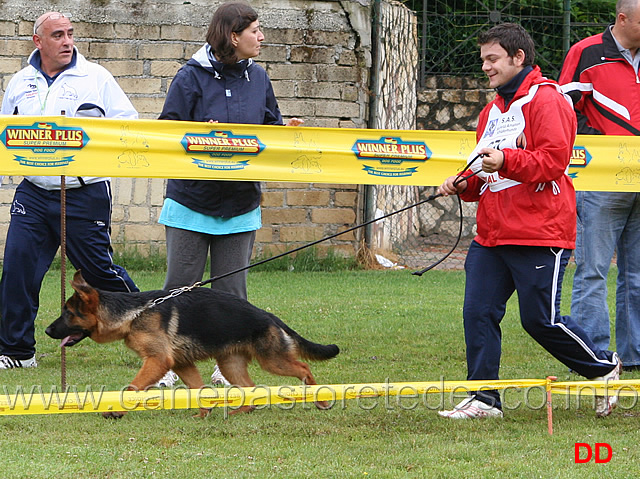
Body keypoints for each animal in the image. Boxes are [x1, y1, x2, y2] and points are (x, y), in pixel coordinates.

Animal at [45, 272, 340, 418]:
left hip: (272, 360)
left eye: (68, 313)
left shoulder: (158, 361)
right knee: (250, 388)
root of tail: (269, 316)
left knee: (303, 368)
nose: (47, 330)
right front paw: (204, 413)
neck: (134, 313)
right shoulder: (181, 363)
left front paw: (117, 411)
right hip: (231, 364)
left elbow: (131, 388)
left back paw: (320, 399)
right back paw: (240, 411)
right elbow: (198, 389)